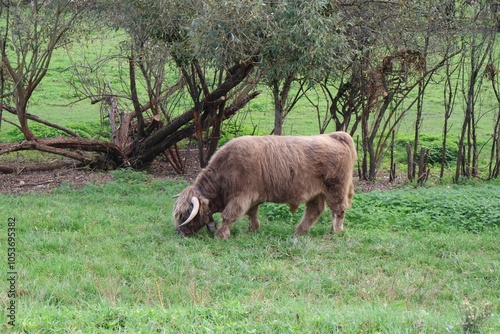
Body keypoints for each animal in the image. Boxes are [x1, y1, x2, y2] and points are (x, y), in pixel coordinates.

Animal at [174, 130, 358, 237]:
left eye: (185, 214)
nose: (180, 232)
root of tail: (335, 136)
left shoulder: (241, 196)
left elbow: (230, 215)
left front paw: (221, 234)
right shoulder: (253, 196)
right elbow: (252, 213)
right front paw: (253, 229)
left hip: (336, 188)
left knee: (338, 209)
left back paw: (335, 232)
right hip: (316, 192)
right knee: (315, 210)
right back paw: (299, 231)